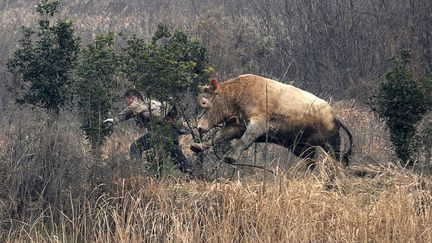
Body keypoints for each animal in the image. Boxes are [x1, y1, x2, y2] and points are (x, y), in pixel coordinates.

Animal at [191, 73, 352, 166]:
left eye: (204, 103)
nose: (199, 127)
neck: (239, 94)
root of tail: (334, 116)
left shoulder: (258, 124)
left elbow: (244, 139)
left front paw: (231, 156)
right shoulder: (237, 126)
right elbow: (219, 136)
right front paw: (199, 145)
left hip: (331, 147)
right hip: (305, 149)